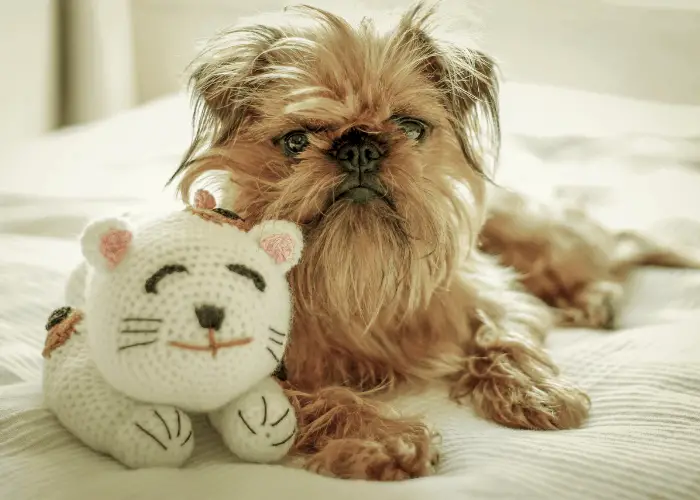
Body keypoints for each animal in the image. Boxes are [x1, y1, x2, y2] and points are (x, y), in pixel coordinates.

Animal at [167, 1, 676, 482]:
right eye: (296, 141)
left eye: (411, 127)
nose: (359, 146)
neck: (358, 271)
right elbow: (325, 403)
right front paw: (385, 441)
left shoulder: (496, 297)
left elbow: (504, 338)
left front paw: (535, 391)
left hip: (529, 233)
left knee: (610, 253)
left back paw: (595, 299)